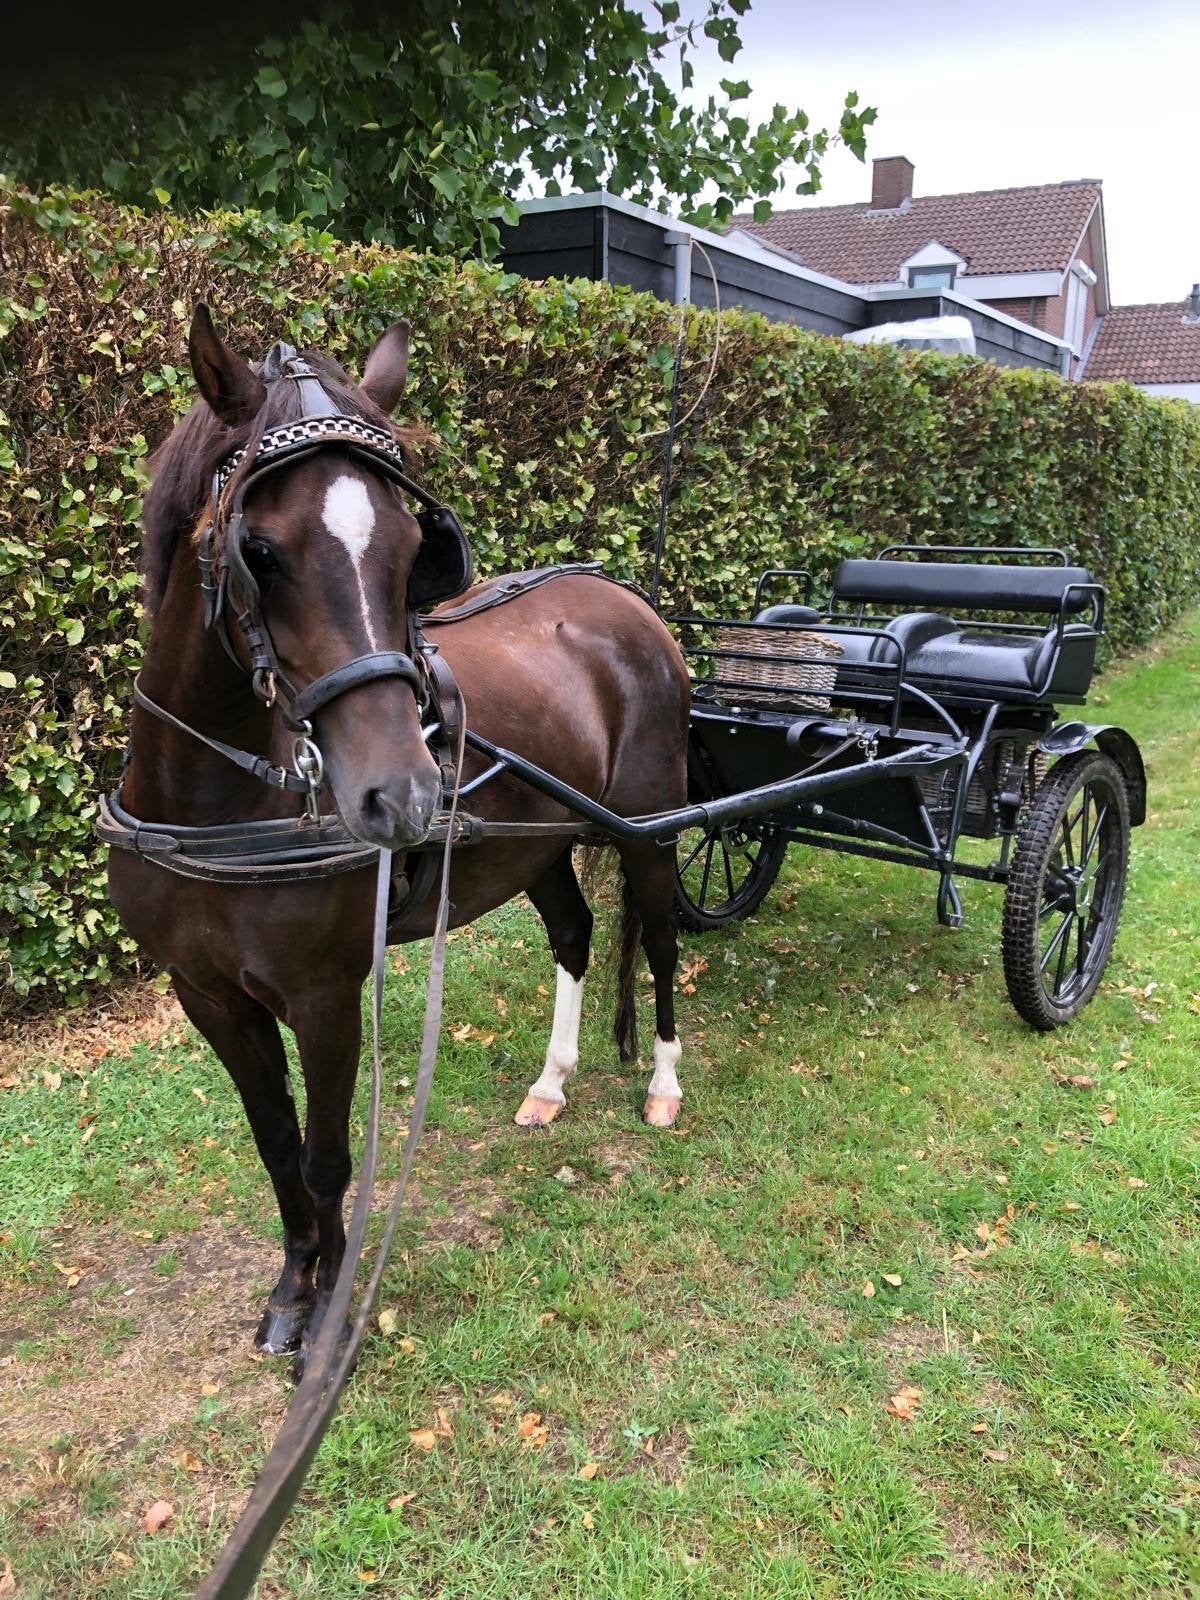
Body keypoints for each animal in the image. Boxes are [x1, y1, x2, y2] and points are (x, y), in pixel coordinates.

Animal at [106, 305, 691, 1368]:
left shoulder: (326, 993)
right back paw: (551, 1082)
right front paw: (293, 1288)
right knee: (577, 935)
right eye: (259, 551)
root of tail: (628, 603)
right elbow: (277, 1148)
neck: (217, 807)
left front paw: (333, 1312)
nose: (406, 794)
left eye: (415, 545)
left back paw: (664, 1082)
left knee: (660, 941)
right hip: (537, 843)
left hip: (651, 832)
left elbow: (330, 1157)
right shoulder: (207, 995)